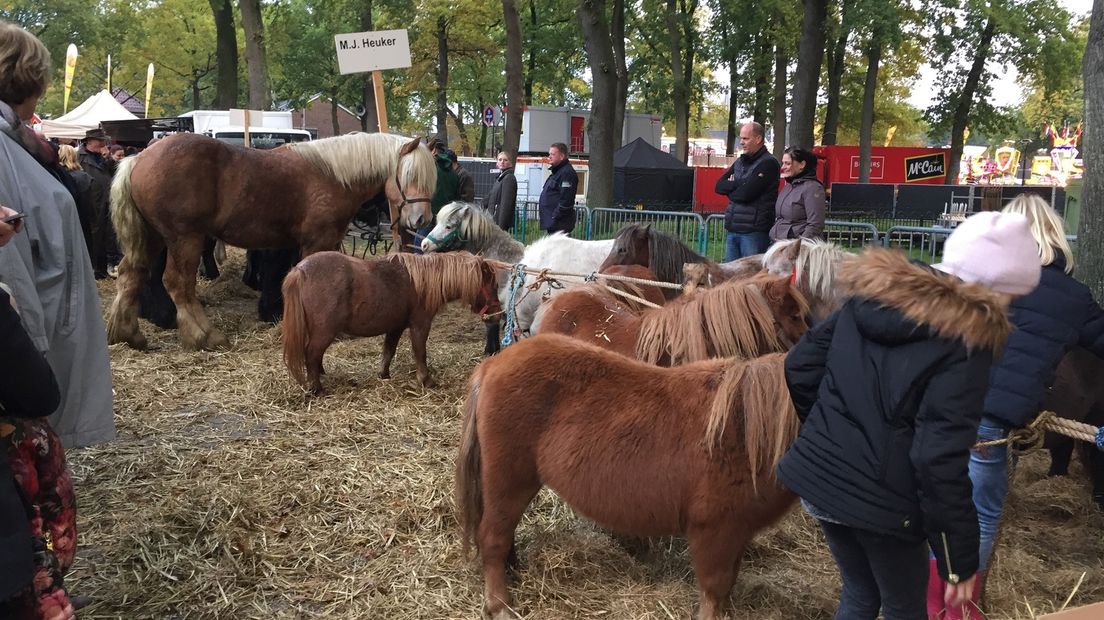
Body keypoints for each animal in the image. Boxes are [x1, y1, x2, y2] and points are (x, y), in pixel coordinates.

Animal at [280, 251, 501, 390]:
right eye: (493, 285)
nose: (498, 314)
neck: (422, 283)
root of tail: (299, 270)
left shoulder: (396, 327)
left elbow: (388, 351)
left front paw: (384, 374)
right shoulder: (420, 325)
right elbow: (420, 352)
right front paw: (426, 380)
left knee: (315, 356)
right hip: (324, 331)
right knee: (311, 354)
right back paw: (316, 388)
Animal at [452, 333, 799, 617]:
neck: (744, 429)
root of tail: (493, 365)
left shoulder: (739, 533)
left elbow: (727, 588)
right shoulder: (716, 532)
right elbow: (714, 590)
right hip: (508, 481)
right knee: (492, 537)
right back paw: (499, 605)